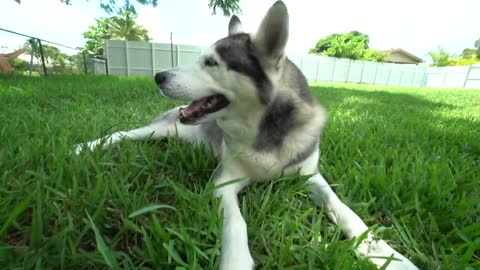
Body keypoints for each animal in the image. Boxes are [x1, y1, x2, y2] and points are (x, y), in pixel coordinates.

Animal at [75, 1, 416, 268]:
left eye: (210, 62)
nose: (158, 76)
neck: (262, 130)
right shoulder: (225, 182)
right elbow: (236, 224)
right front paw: (236, 261)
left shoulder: (310, 175)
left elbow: (345, 211)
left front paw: (384, 254)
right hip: (158, 129)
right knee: (124, 134)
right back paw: (86, 147)